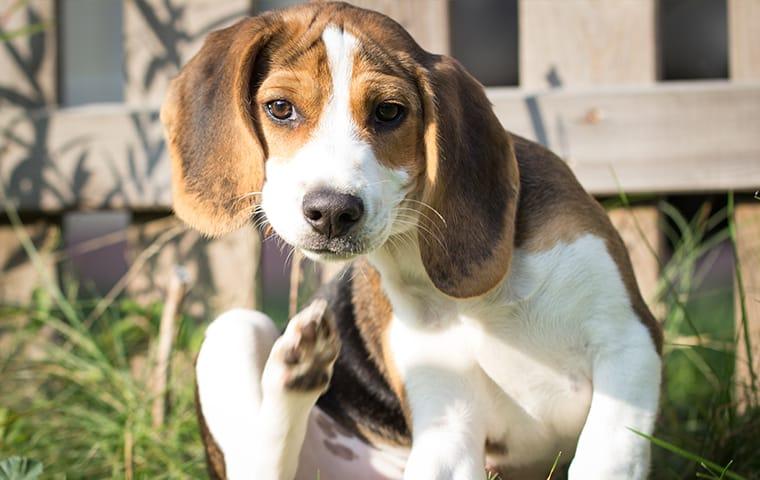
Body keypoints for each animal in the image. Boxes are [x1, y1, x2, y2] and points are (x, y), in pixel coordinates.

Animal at [160, 1, 660, 478]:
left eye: (388, 112)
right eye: (280, 108)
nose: (332, 211)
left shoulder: (629, 343)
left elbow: (604, 461)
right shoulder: (449, 417)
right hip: (233, 328)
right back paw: (297, 367)